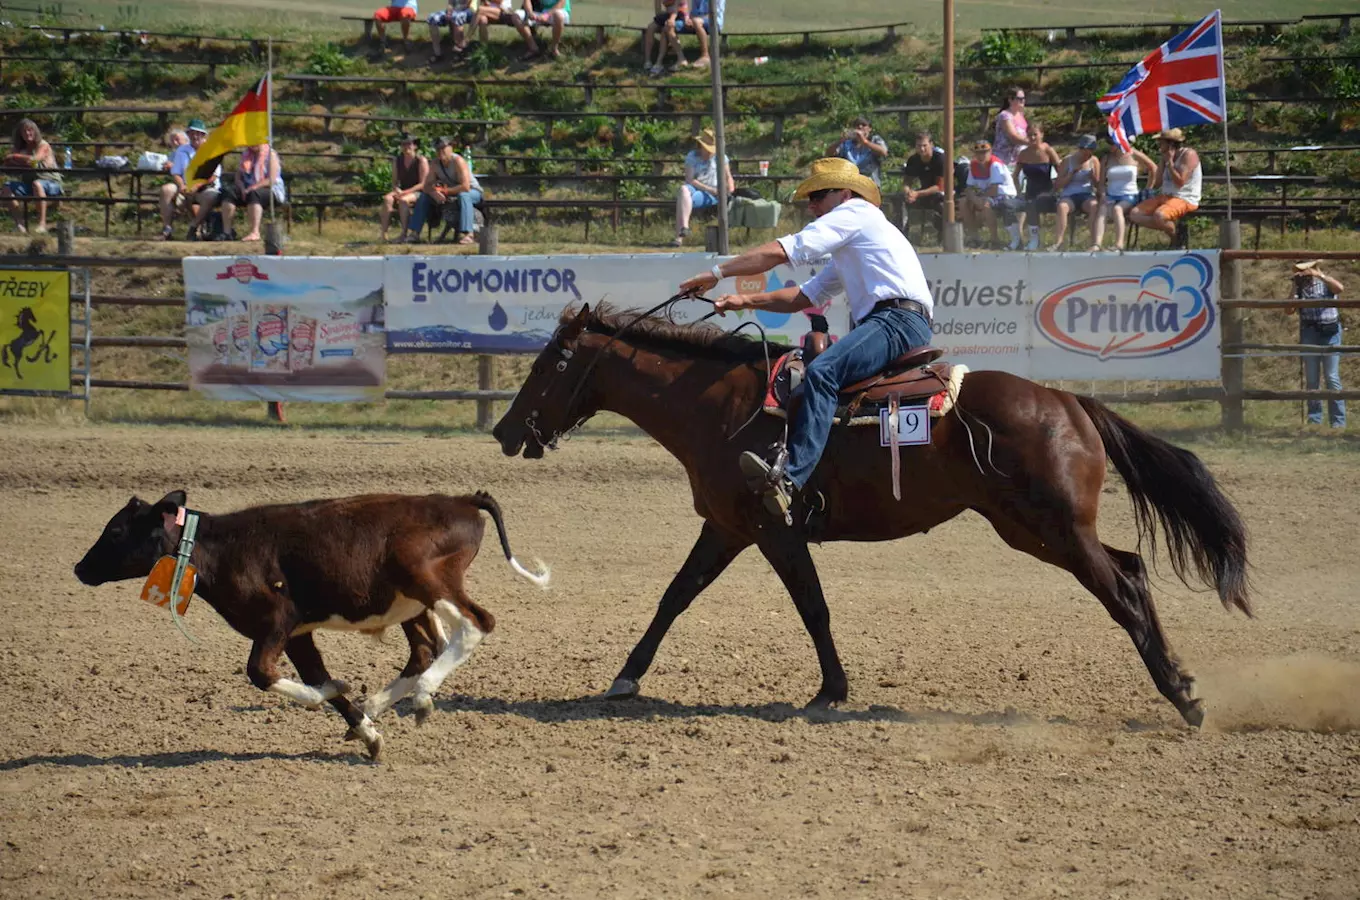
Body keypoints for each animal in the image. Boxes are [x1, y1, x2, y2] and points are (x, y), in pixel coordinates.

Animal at [71, 494, 549, 761]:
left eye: (115, 532)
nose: (79, 568)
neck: (221, 550)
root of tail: (461, 500)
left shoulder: (277, 620)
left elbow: (266, 674)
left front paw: (338, 694)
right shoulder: (298, 634)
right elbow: (315, 676)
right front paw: (365, 730)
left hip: (428, 580)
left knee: (476, 624)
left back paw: (423, 696)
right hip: (411, 603)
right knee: (425, 649)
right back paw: (378, 704)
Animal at [495, 303, 1245, 728]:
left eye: (550, 362)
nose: (505, 431)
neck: (722, 407)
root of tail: (1070, 402)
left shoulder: (771, 526)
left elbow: (811, 604)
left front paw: (831, 690)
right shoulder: (728, 526)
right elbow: (675, 595)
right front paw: (625, 677)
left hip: (1053, 529)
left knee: (1121, 590)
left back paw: (1184, 697)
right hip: (1035, 529)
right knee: (1133, 570)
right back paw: (1181, 684)